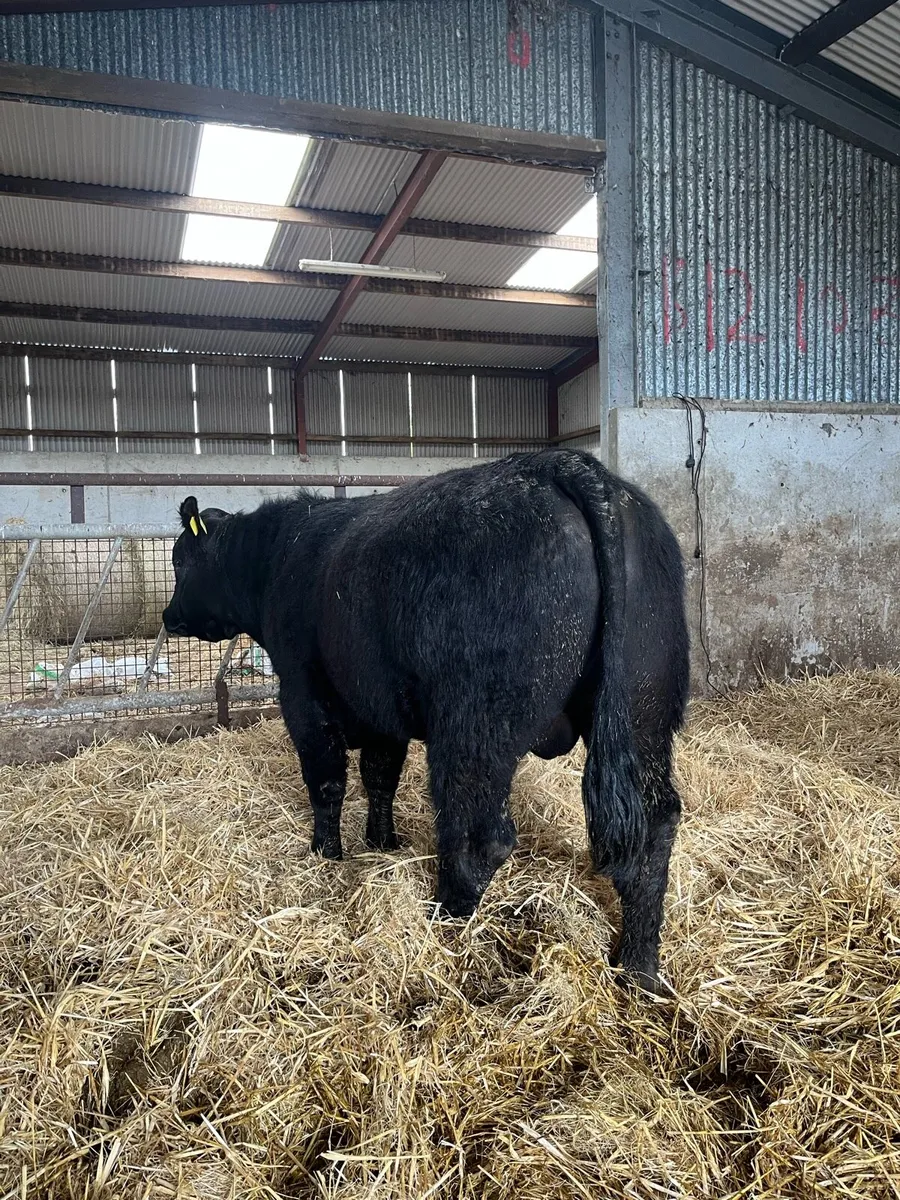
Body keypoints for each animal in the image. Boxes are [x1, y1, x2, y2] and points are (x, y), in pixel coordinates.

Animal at [162, 448, 689, 992]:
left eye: (181, 560)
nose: (169, 616)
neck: (277, 558)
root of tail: (561, 464)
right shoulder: (378, 707)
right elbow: (380, 776)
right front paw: (382, 843)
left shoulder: (303, 695)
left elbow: (327, 781)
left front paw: (326, 852)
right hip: (644, 709)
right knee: (654, 824)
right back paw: (639, 968)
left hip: (475, 724)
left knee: (479, 833)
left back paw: (445, 918)